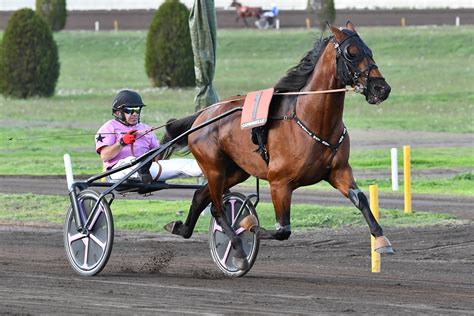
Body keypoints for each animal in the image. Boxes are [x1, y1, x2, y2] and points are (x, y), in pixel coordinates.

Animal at [163, 22, 392, 270]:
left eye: (369, 50)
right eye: (352, 52)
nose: (381, 88)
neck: (310, 120)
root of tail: (203, 115)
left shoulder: (339, 172)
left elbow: (361, 199)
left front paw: (382, 240)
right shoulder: (279, 183)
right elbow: (282, 230)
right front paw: (249, 225)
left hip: (235, 171)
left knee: (200, 196)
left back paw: (181, 228)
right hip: (214, 167)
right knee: (217, 208)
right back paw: (237, 248)